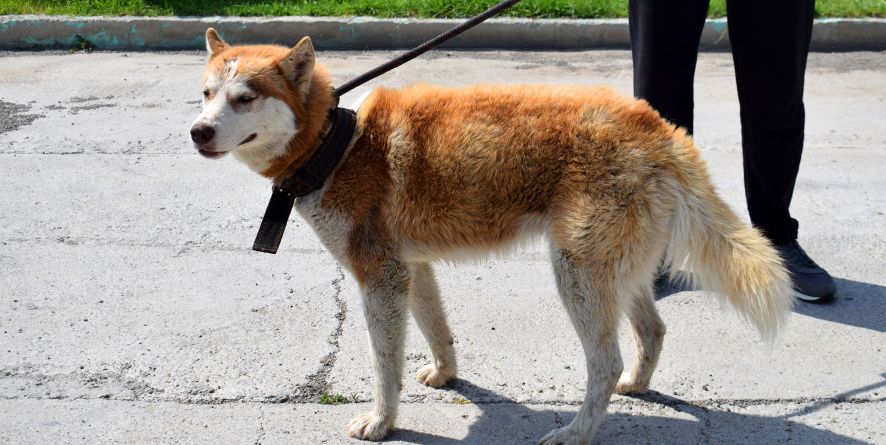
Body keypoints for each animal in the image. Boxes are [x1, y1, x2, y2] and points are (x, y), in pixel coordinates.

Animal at [191, 29, 796, 442]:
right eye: (205, 94)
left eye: (245, 98)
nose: (197, 132)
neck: (336, 142)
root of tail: (658, 129)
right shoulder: (412, 270)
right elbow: (437, 332)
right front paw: (445, 375)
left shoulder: (379, 278)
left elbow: (384, 367)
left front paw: (383, 422)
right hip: (619, 275)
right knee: (652, 331)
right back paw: (637, 387)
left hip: (577, 275)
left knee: (604, 363)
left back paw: (577, 433)